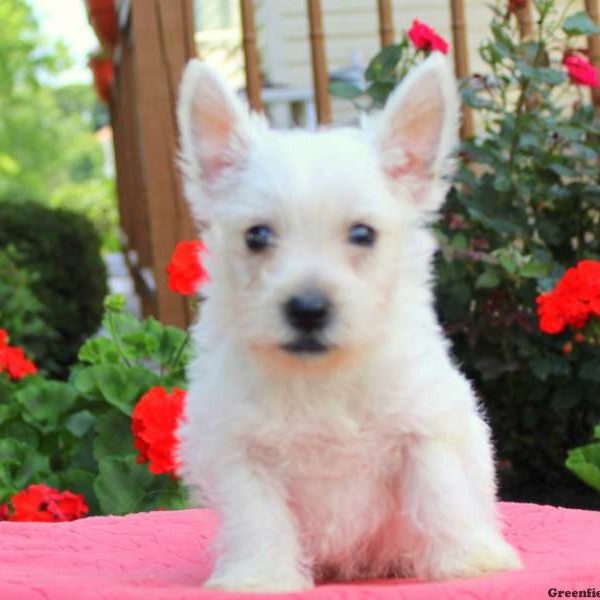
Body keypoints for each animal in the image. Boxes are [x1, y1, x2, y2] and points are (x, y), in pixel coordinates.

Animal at [175, 52, 520, 592]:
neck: (322, 377)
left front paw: (471, 559)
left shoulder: (424, 428)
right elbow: (258, 515)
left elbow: (441, 493)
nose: (308, 308)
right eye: (256, 236)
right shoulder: (239, 450)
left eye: (363, 234)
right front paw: (261, 576)